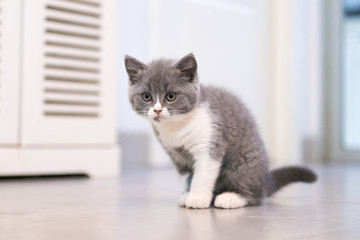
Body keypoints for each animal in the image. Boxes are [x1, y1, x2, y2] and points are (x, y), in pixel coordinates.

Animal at [125, 53, 316, 209]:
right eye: (146, 97)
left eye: (171, 96)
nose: (157, 110)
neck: (177, 126)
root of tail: (265, 180)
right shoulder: (177, 155)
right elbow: (187, 176)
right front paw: (187, 194)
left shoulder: (210, 143)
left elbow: (202, 175)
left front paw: (197, 198)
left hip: (243, 165)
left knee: (254, 194)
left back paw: (231, 197)